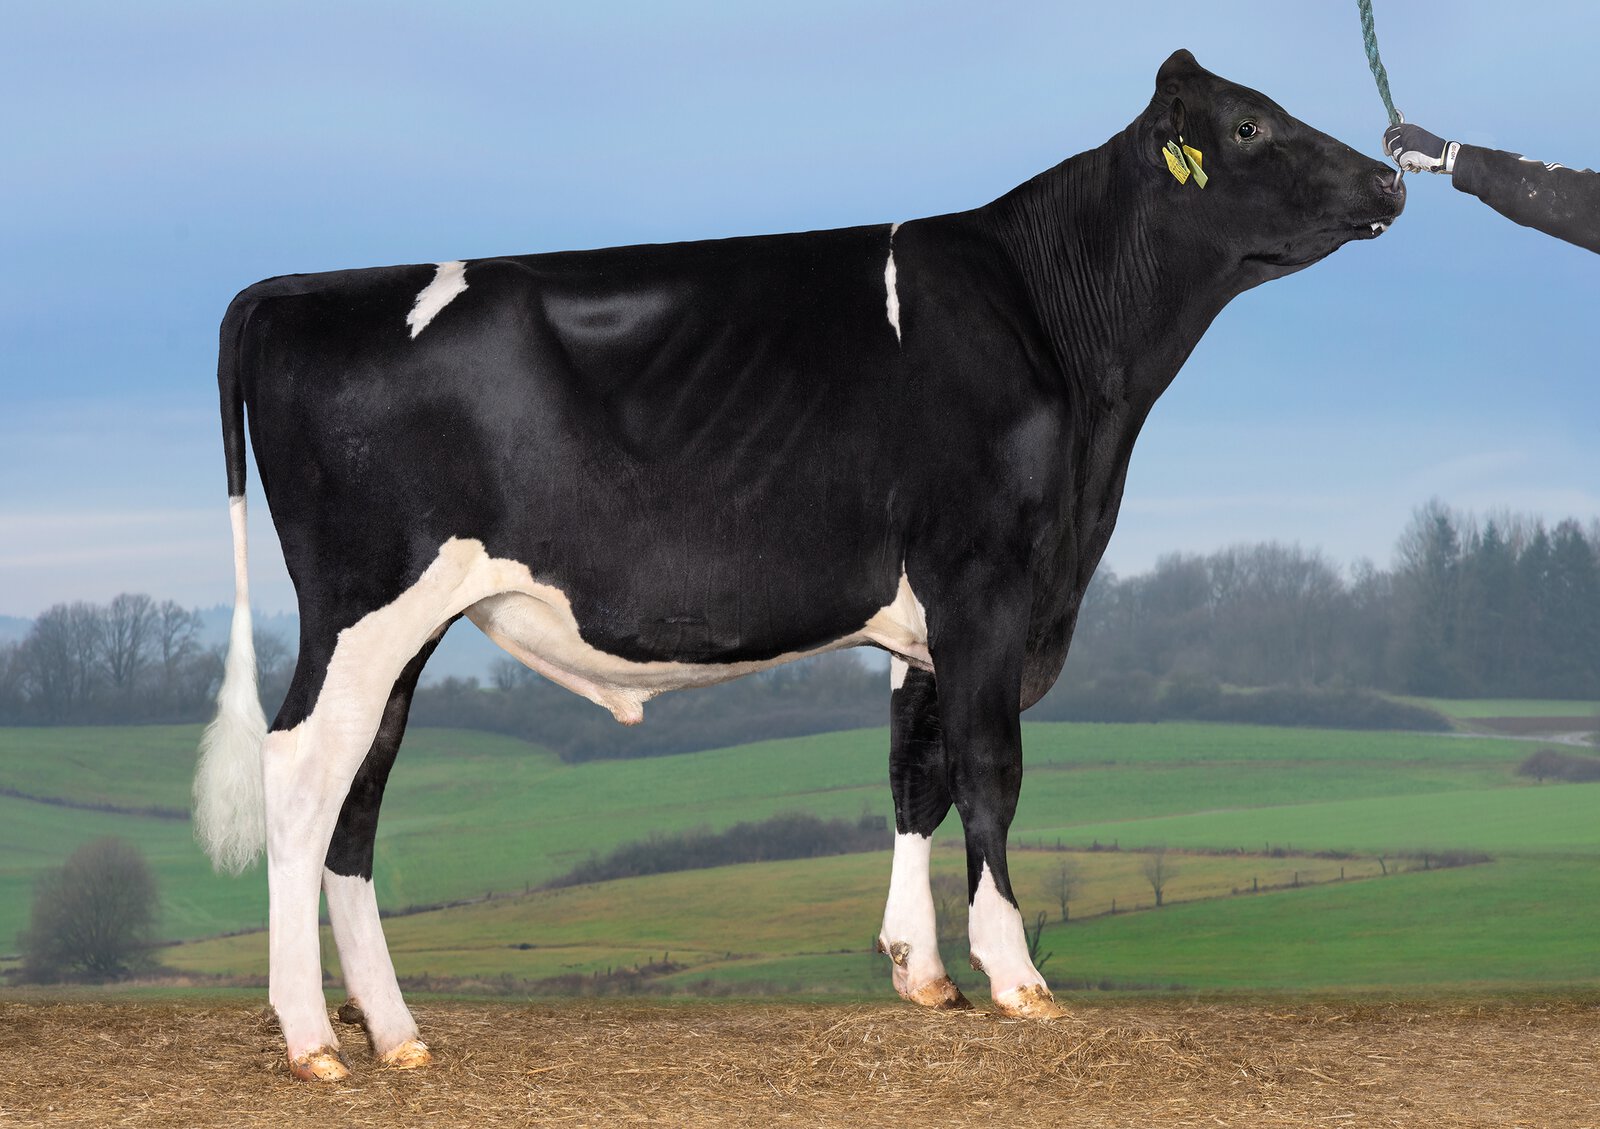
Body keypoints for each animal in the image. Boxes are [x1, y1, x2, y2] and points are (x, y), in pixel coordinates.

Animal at [194, 50, 1403, 1080]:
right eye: (1250, 125)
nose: (1392, 175)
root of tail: (297, 288)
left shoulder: (928, 610)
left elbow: (914, 770)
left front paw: (923, 973)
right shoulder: (985, 578)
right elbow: (990, 768)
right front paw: (1016, 976)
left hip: (405, 626)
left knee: (359, 788)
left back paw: (395, 1032)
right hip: (365, 601)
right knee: (301, 770)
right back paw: (313, 1038)